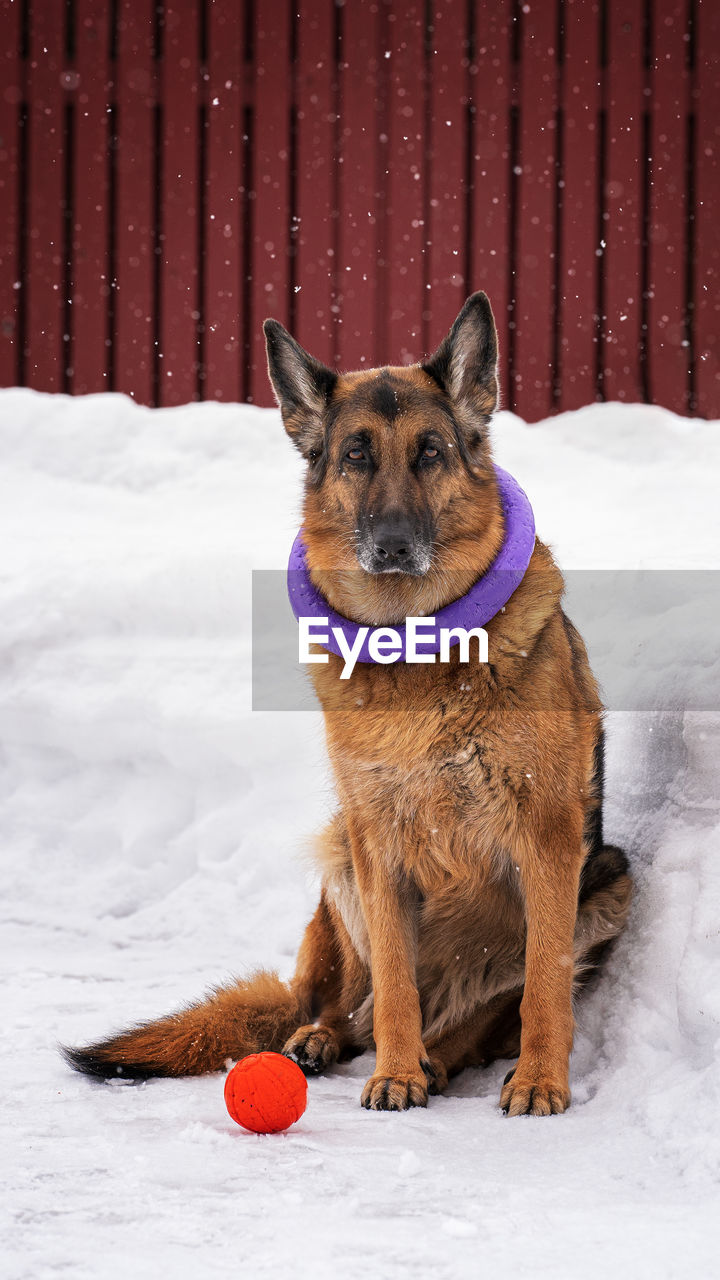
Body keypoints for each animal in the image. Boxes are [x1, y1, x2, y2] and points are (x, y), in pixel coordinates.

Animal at [65, 294, 627, 1116]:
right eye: (357, 456)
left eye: (430, 453)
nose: (392, 546)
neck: (421, 658)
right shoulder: (378, 846)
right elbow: (394, 981)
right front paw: (394, 1074)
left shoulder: (550, 842)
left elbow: (543, 985)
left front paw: (538, 1082)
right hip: (339, 858)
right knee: (342, 1003)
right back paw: (329, 1040)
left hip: (609, 879)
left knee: (475, 1017)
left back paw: (442, 1057)